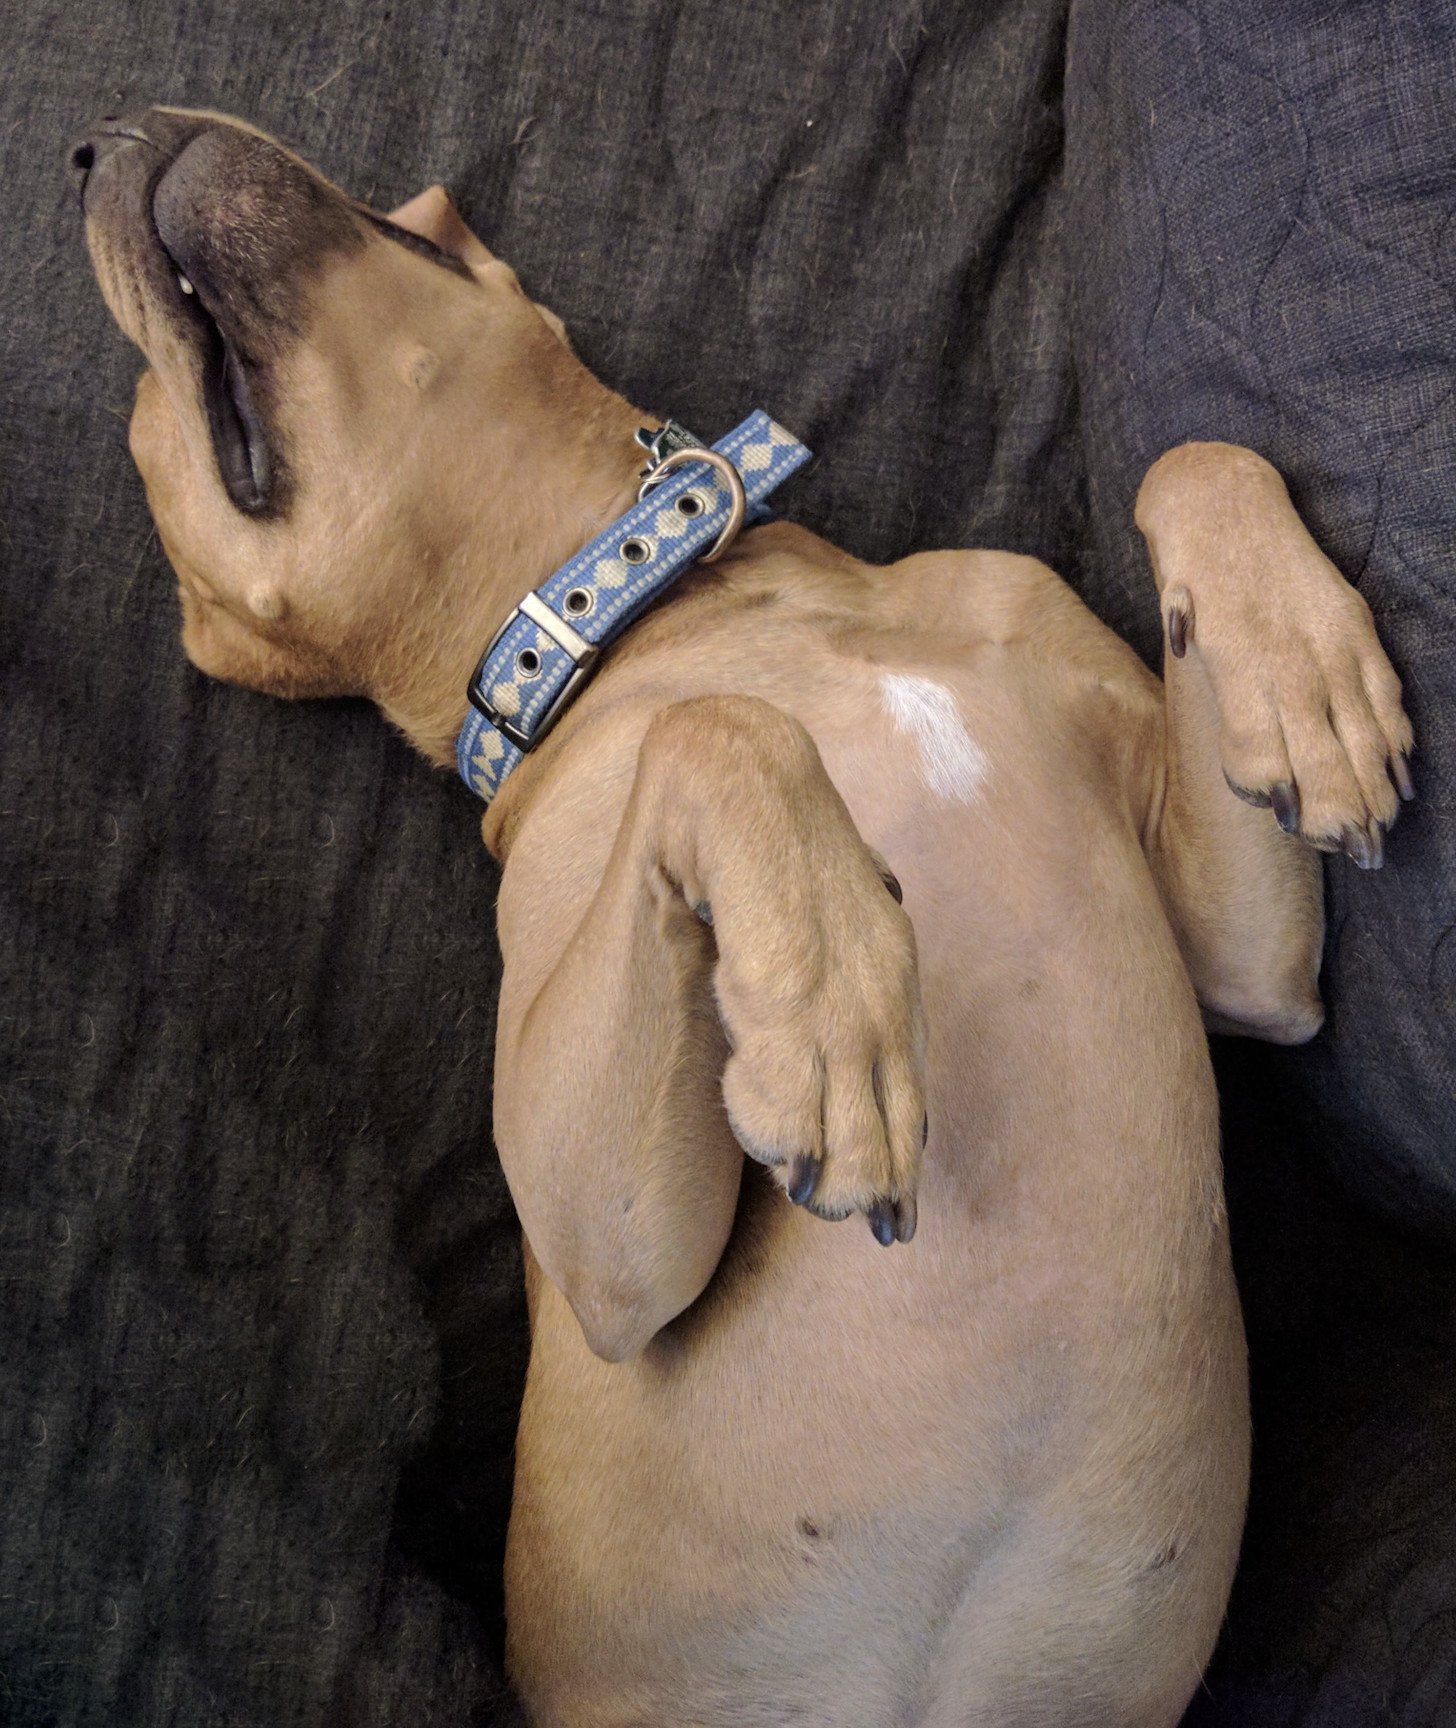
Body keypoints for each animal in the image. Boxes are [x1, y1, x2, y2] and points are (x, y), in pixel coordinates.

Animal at [76, 108, 1409, 1728]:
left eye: (402, 221)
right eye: (150, 419)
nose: (92, 141)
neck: (670, 604)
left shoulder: (1250, 978)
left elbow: (1195, 450)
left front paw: (1308, 682)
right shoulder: (611, 1270)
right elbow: (720, 731)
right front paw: (831, 1018)